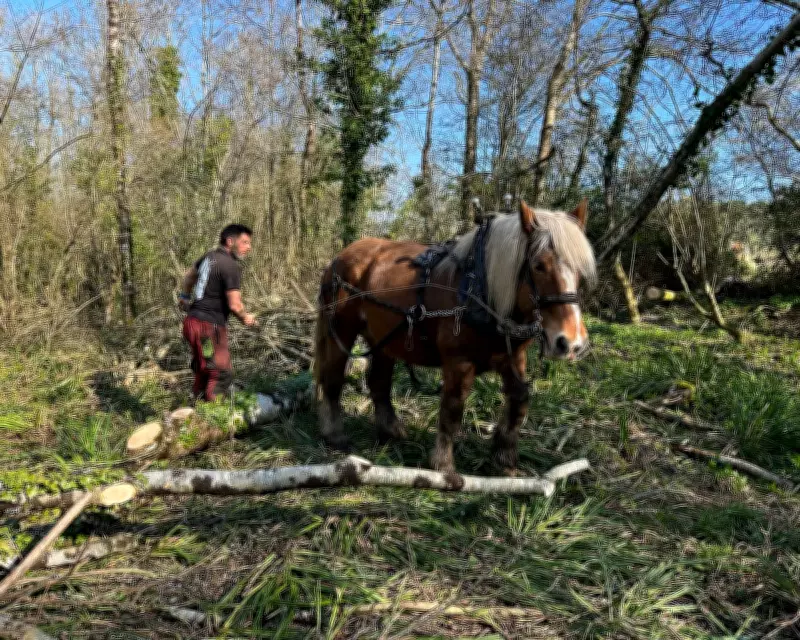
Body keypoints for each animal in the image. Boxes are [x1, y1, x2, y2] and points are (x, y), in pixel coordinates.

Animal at [313, 199, 596, 475]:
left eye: (579, 270)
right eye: (538, 266)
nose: (571, 343)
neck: (482, 288)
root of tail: (341, 256)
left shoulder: (512, 357)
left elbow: (519, 401)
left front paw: (505, 458)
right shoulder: (458, 362)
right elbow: (452, 409)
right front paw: (443, 465)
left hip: (382, 339)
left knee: (379, 383)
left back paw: (390, 431)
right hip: (341, 330)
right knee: (333, 378)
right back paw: (335, 434)